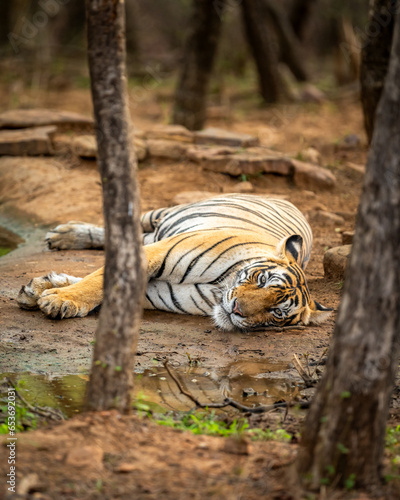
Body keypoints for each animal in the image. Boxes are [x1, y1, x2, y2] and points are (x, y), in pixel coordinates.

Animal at [17, 195, 332, 332]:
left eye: (276, 312)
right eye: (262, 280)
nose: (236, 309)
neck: (217, 289)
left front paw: (44, 292)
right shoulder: (158, 252)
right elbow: (97, 281)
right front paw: (59, 299)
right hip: (162, 214)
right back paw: (65, 235)